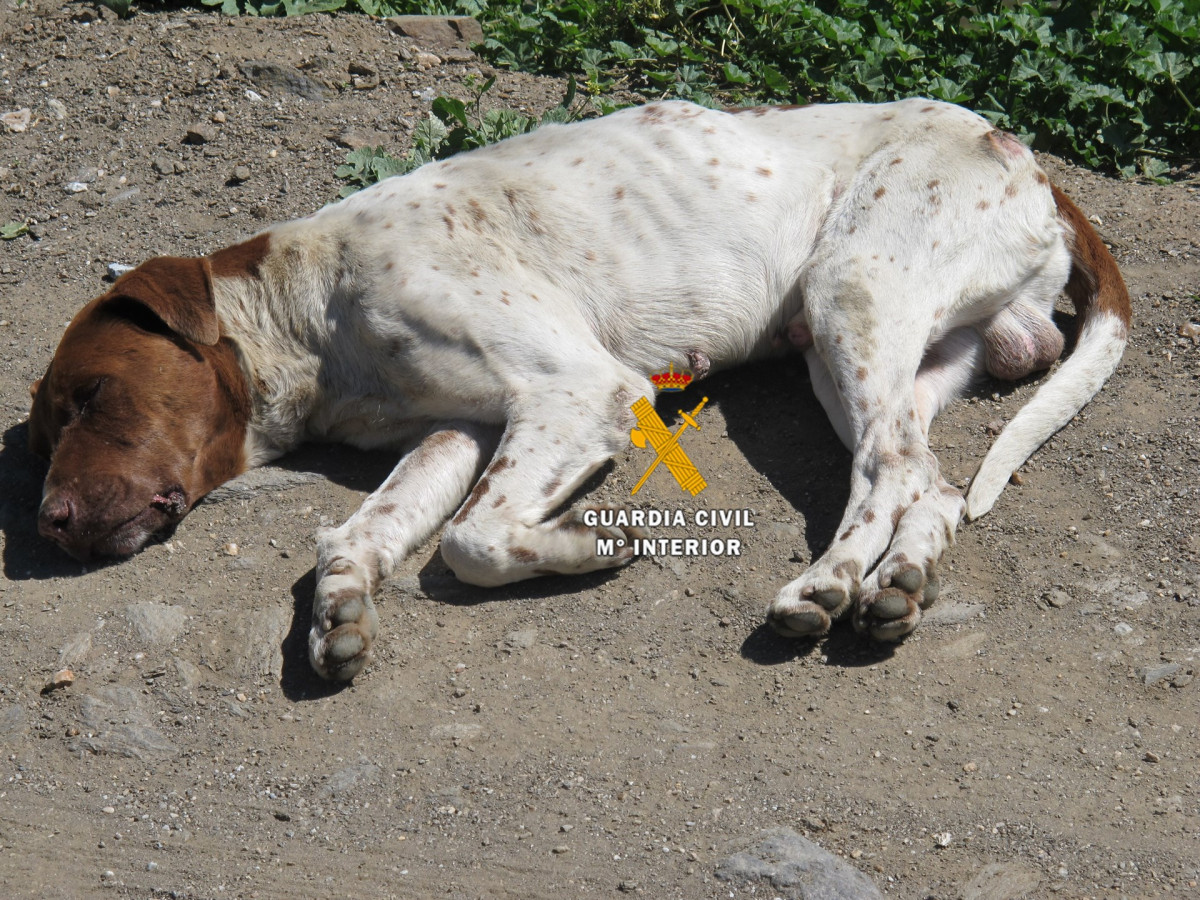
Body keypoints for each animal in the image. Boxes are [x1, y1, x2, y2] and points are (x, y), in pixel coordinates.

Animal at [30, 98, 1132, 681]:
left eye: (90, 397)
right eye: (47, 424)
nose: (48, 524)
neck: (310, 300)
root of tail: (1024, 153)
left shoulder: (577, 391)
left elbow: (472, 542)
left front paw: (588, 543)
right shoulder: (456, 434)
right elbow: (363, 534)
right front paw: (339, 608)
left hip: (850, 292)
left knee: (888, 475)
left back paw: (827, 586)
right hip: (881, 351)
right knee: (927, 483)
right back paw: (896, 584)